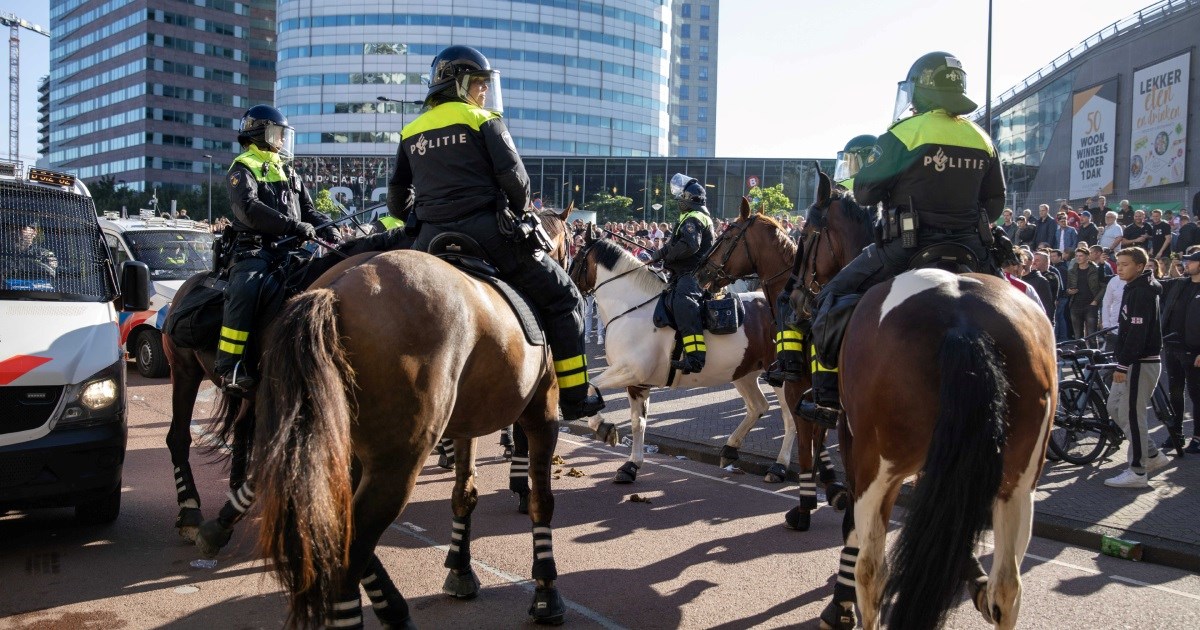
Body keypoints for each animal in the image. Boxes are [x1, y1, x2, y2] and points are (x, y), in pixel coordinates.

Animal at [252, 248, 566, 624]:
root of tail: (335, 290)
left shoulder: (467, 423)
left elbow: (464, 493)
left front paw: (460, 570)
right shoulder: (543, 411)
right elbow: (542, 500)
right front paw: (546, 590)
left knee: (332, 533)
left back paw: (392, 608)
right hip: (397, 461)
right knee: (348, 552)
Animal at [568, 225, 801, 482]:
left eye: (576, 258)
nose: (567, 285)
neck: (632, 308)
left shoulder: (629, 370)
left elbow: (591, 387)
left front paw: (603, 428)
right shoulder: (638, 382)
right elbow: (638, 423)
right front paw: (631, 465)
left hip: (780, 377)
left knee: (790, 419)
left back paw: (778, 467)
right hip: (744, 372)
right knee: (758, 406)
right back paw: (730, 449)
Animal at [691, 198, 849, 530]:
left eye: (727, 234)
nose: (701, 273)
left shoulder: (799, 384)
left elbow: (807, 432)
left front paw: (807, 498)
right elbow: (816, 432)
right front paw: (829, 484)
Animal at [792, 170, 1056, 628]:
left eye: (807, 234)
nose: (794, 297)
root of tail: (963, 324)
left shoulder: (851, 438)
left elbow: (852, 529)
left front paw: (838, 604)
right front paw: (969, 572)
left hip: (879, 466)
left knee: (872, 572)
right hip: (1019, 482)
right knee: (1008, 586)